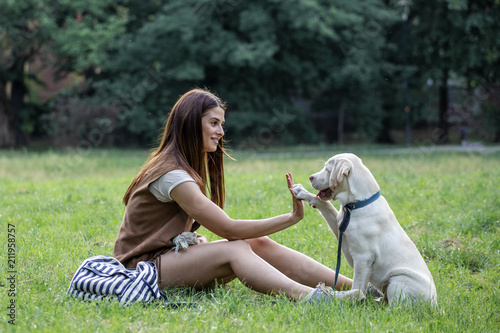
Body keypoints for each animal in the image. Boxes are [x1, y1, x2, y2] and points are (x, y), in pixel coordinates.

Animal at [292, 152, 438, 304]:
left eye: (327, 169)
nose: (310, 177)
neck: (357, 204)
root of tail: (434, 304)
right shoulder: (340, 228)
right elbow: (325, 204)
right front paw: (302, 191)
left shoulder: (363, 258)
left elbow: (358, 284)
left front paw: (354, 298)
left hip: (398, 280)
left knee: (396, 305)